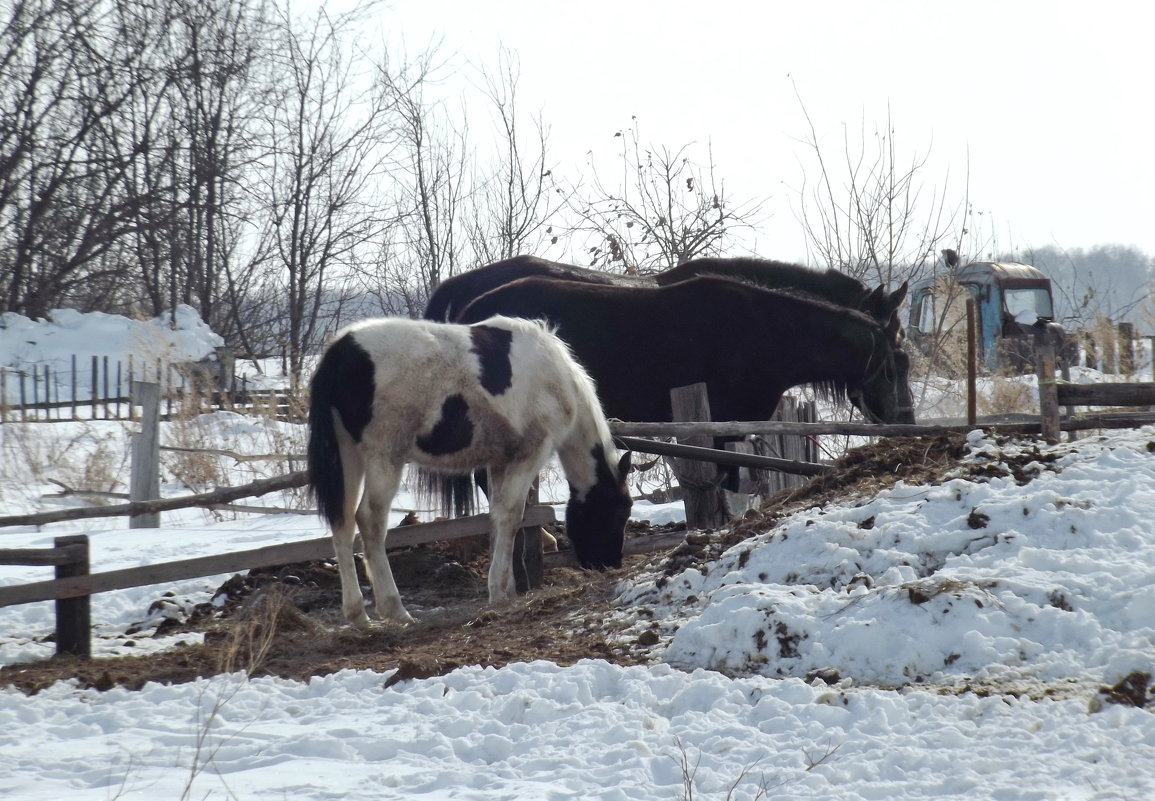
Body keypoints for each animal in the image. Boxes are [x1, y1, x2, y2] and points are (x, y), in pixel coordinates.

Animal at [307, 313, 632, 627]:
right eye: (621, 512)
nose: (610, 564)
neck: (557, 378)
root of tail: (341, 349)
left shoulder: (500, 461)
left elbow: (499, 518)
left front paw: (506, 588)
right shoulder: (532, 453)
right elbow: (511, 515)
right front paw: (499, 591)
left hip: (348, 454)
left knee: (343, 522)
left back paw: (357, 615)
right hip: (384, 456)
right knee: (370, 520)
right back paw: (395, 609)